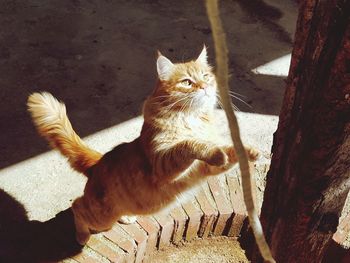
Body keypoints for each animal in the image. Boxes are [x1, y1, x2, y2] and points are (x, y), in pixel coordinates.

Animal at [27, 46, 258, 246]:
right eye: (187, 82)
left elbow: (228, 150)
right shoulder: (164, 163)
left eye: (206, 76)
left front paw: (250, 152)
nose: (206, 87)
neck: (192, 120)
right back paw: (82, 236)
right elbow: (191, 145)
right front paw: (213, 150)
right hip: (101, 217)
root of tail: (99, 162)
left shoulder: (205, 168)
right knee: (77, 206)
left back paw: (127, 217)